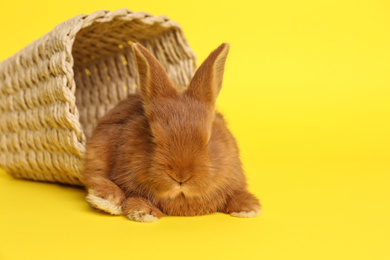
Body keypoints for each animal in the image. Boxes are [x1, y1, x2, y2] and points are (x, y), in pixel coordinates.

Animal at [80, 42, 260, 221]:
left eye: (208, 140)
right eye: (152, 136)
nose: (181, 177)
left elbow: (235, 194)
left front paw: (249, 208)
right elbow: (135, 197)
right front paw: (144, 212)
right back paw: (106, 199)